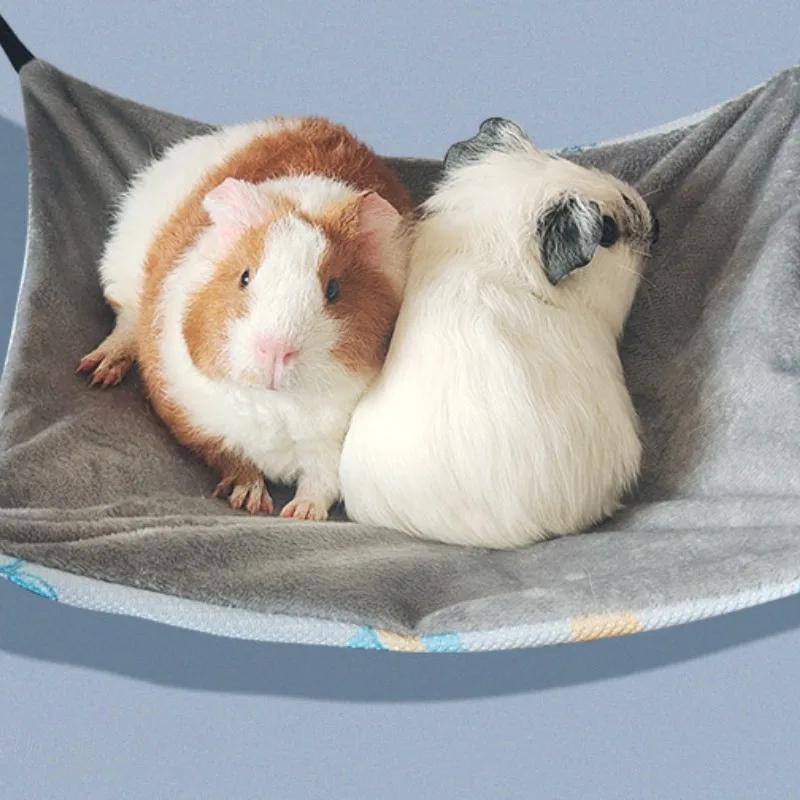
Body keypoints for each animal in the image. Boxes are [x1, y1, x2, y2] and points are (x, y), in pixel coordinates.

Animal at [79, 117, 411, 520]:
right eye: (245, 277)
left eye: (333, 290)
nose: (275, 351)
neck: (278, 405)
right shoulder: (198, 420)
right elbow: (234, 458)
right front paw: (252, 502)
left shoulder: (332, 447)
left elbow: (321, 481)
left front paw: (299, 513)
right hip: (124, 275)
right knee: (124, 325)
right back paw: (97, 372)